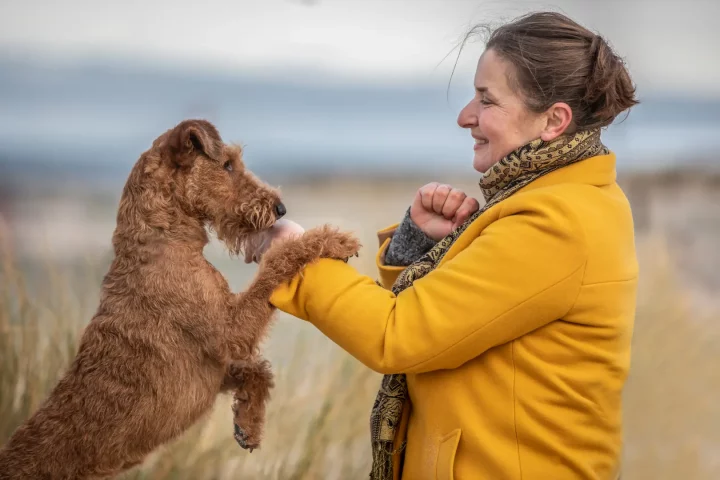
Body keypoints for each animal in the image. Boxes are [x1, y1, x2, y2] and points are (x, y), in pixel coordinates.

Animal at [0, 118, 360, 478]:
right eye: (227, 165)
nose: (280, 208)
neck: (161, 239)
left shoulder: (217, 365)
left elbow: (259, 370)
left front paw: (248, 425)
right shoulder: (231, 333)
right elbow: (277, 263)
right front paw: (333, 239)